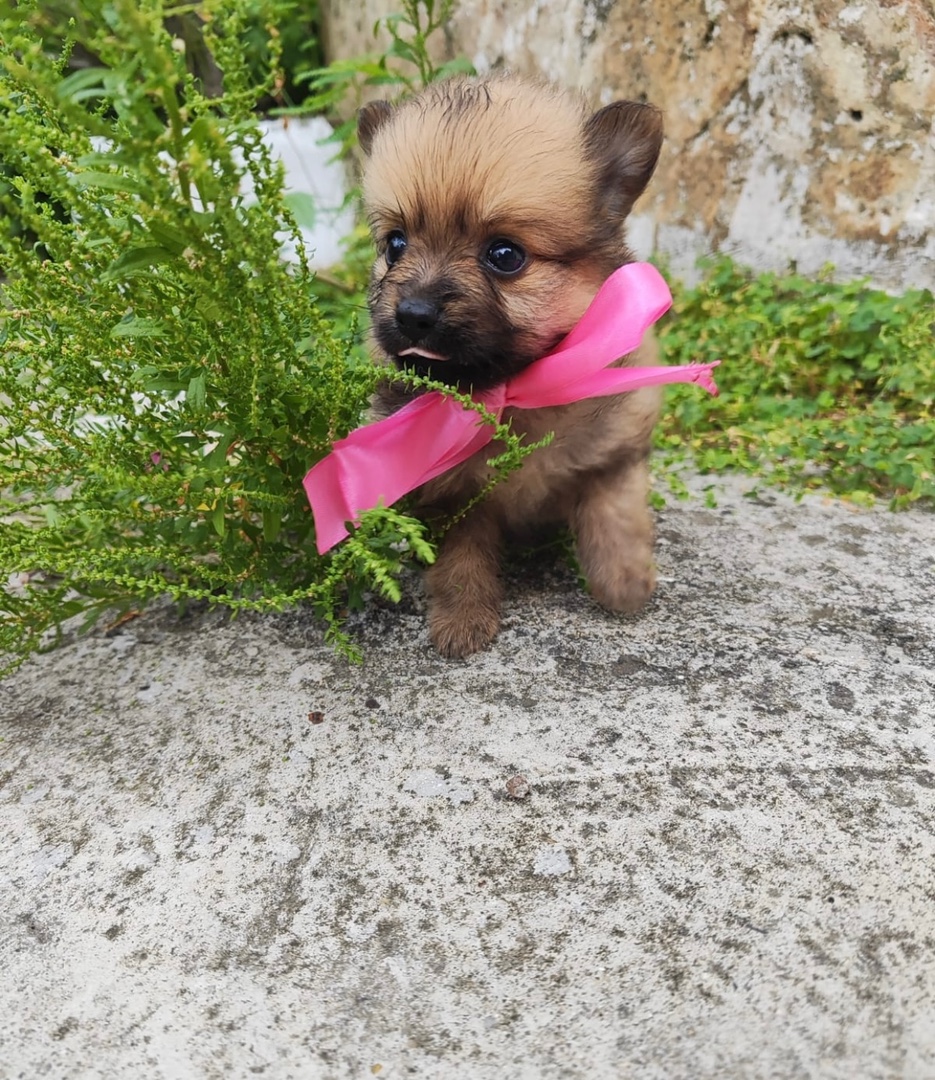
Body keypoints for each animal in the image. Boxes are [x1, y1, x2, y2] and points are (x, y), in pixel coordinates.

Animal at [356, 73, 665, 656]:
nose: (413, 314)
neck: (513, 393)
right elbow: (460, 561)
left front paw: (625, 584)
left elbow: (614, 512)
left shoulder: (613, 448)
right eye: (395, 244)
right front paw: (463, 621)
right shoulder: (453, 494)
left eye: (505, 256)